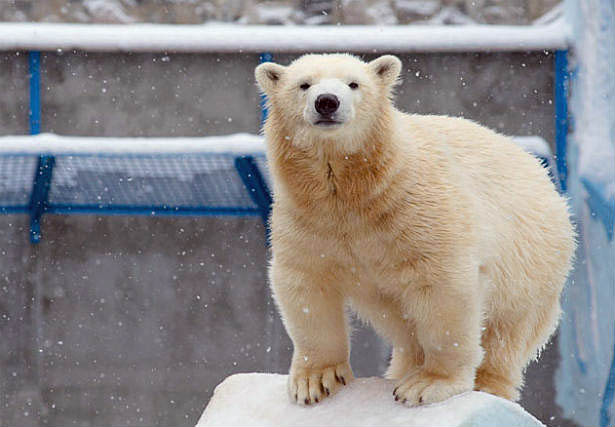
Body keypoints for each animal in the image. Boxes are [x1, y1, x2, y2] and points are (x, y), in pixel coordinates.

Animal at [255, 53, 576, 408]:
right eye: (304, 84)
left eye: (354, 83)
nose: (327, 102)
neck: (357, 192)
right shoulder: (309, 218)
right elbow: (307, 285)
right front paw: (316, 381)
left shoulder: (417, 210)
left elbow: (443, 289)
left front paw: (428, 385)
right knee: (403, 326)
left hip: (530, 262)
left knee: (507, 330)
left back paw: (488, 386)